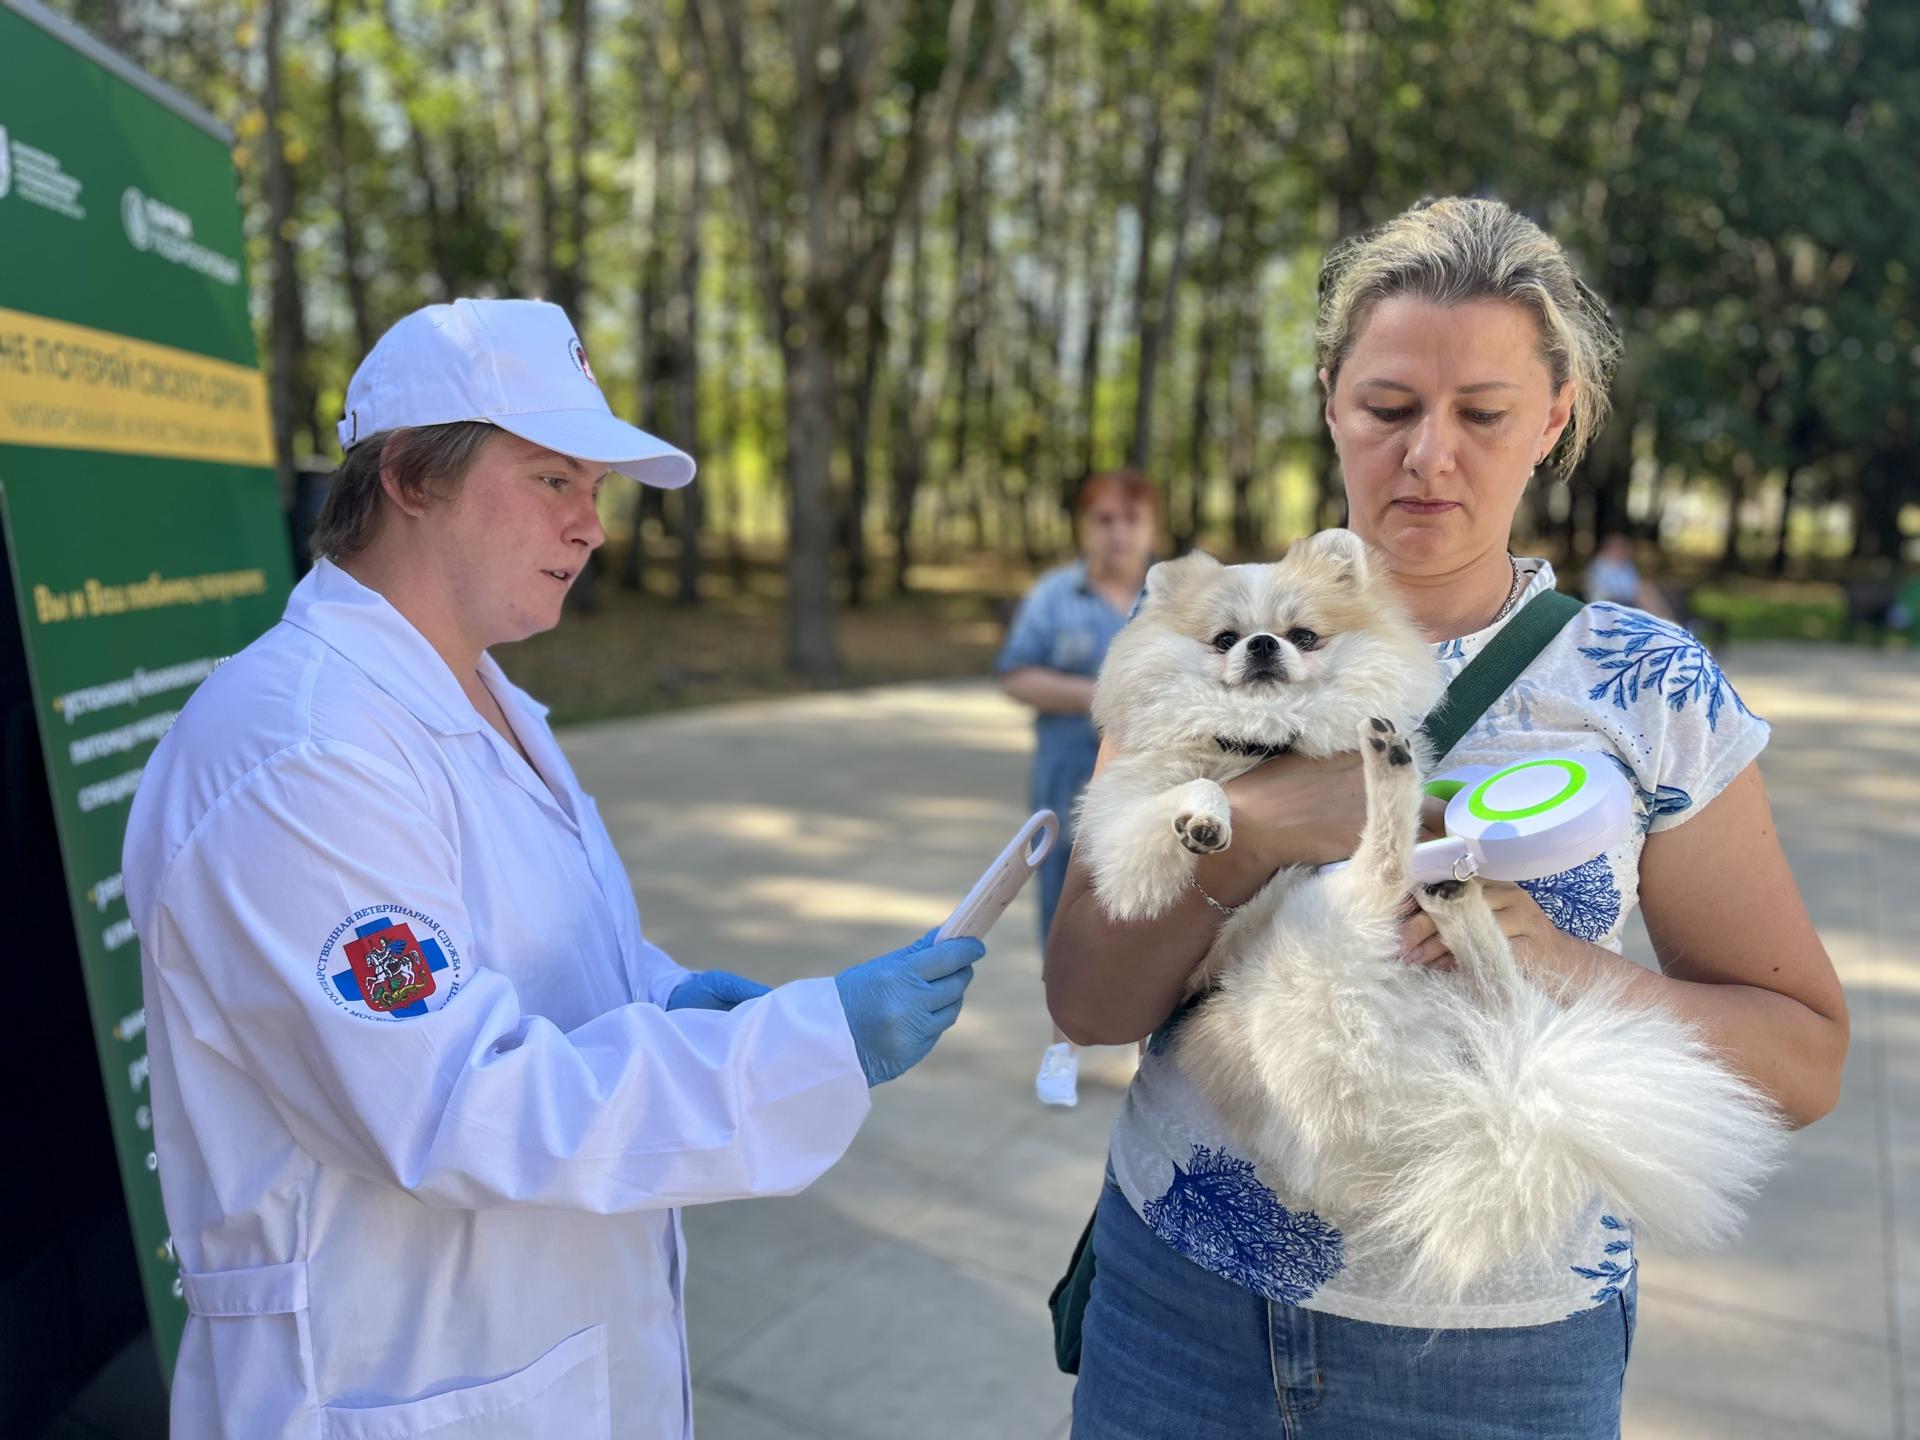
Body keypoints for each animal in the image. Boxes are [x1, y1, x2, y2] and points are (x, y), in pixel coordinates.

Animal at [1082, 529, 1781, 1297]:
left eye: (1303, 635)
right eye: (1225, 639)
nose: (1263, 645)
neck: (1267, 738)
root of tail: (1467, 1111)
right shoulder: (1123, 838)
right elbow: (1193, 790)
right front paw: (1208, 817)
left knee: (1457, 943)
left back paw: (1422, 835)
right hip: (1320, 939)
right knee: (1391, 877)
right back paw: (1415, 826)